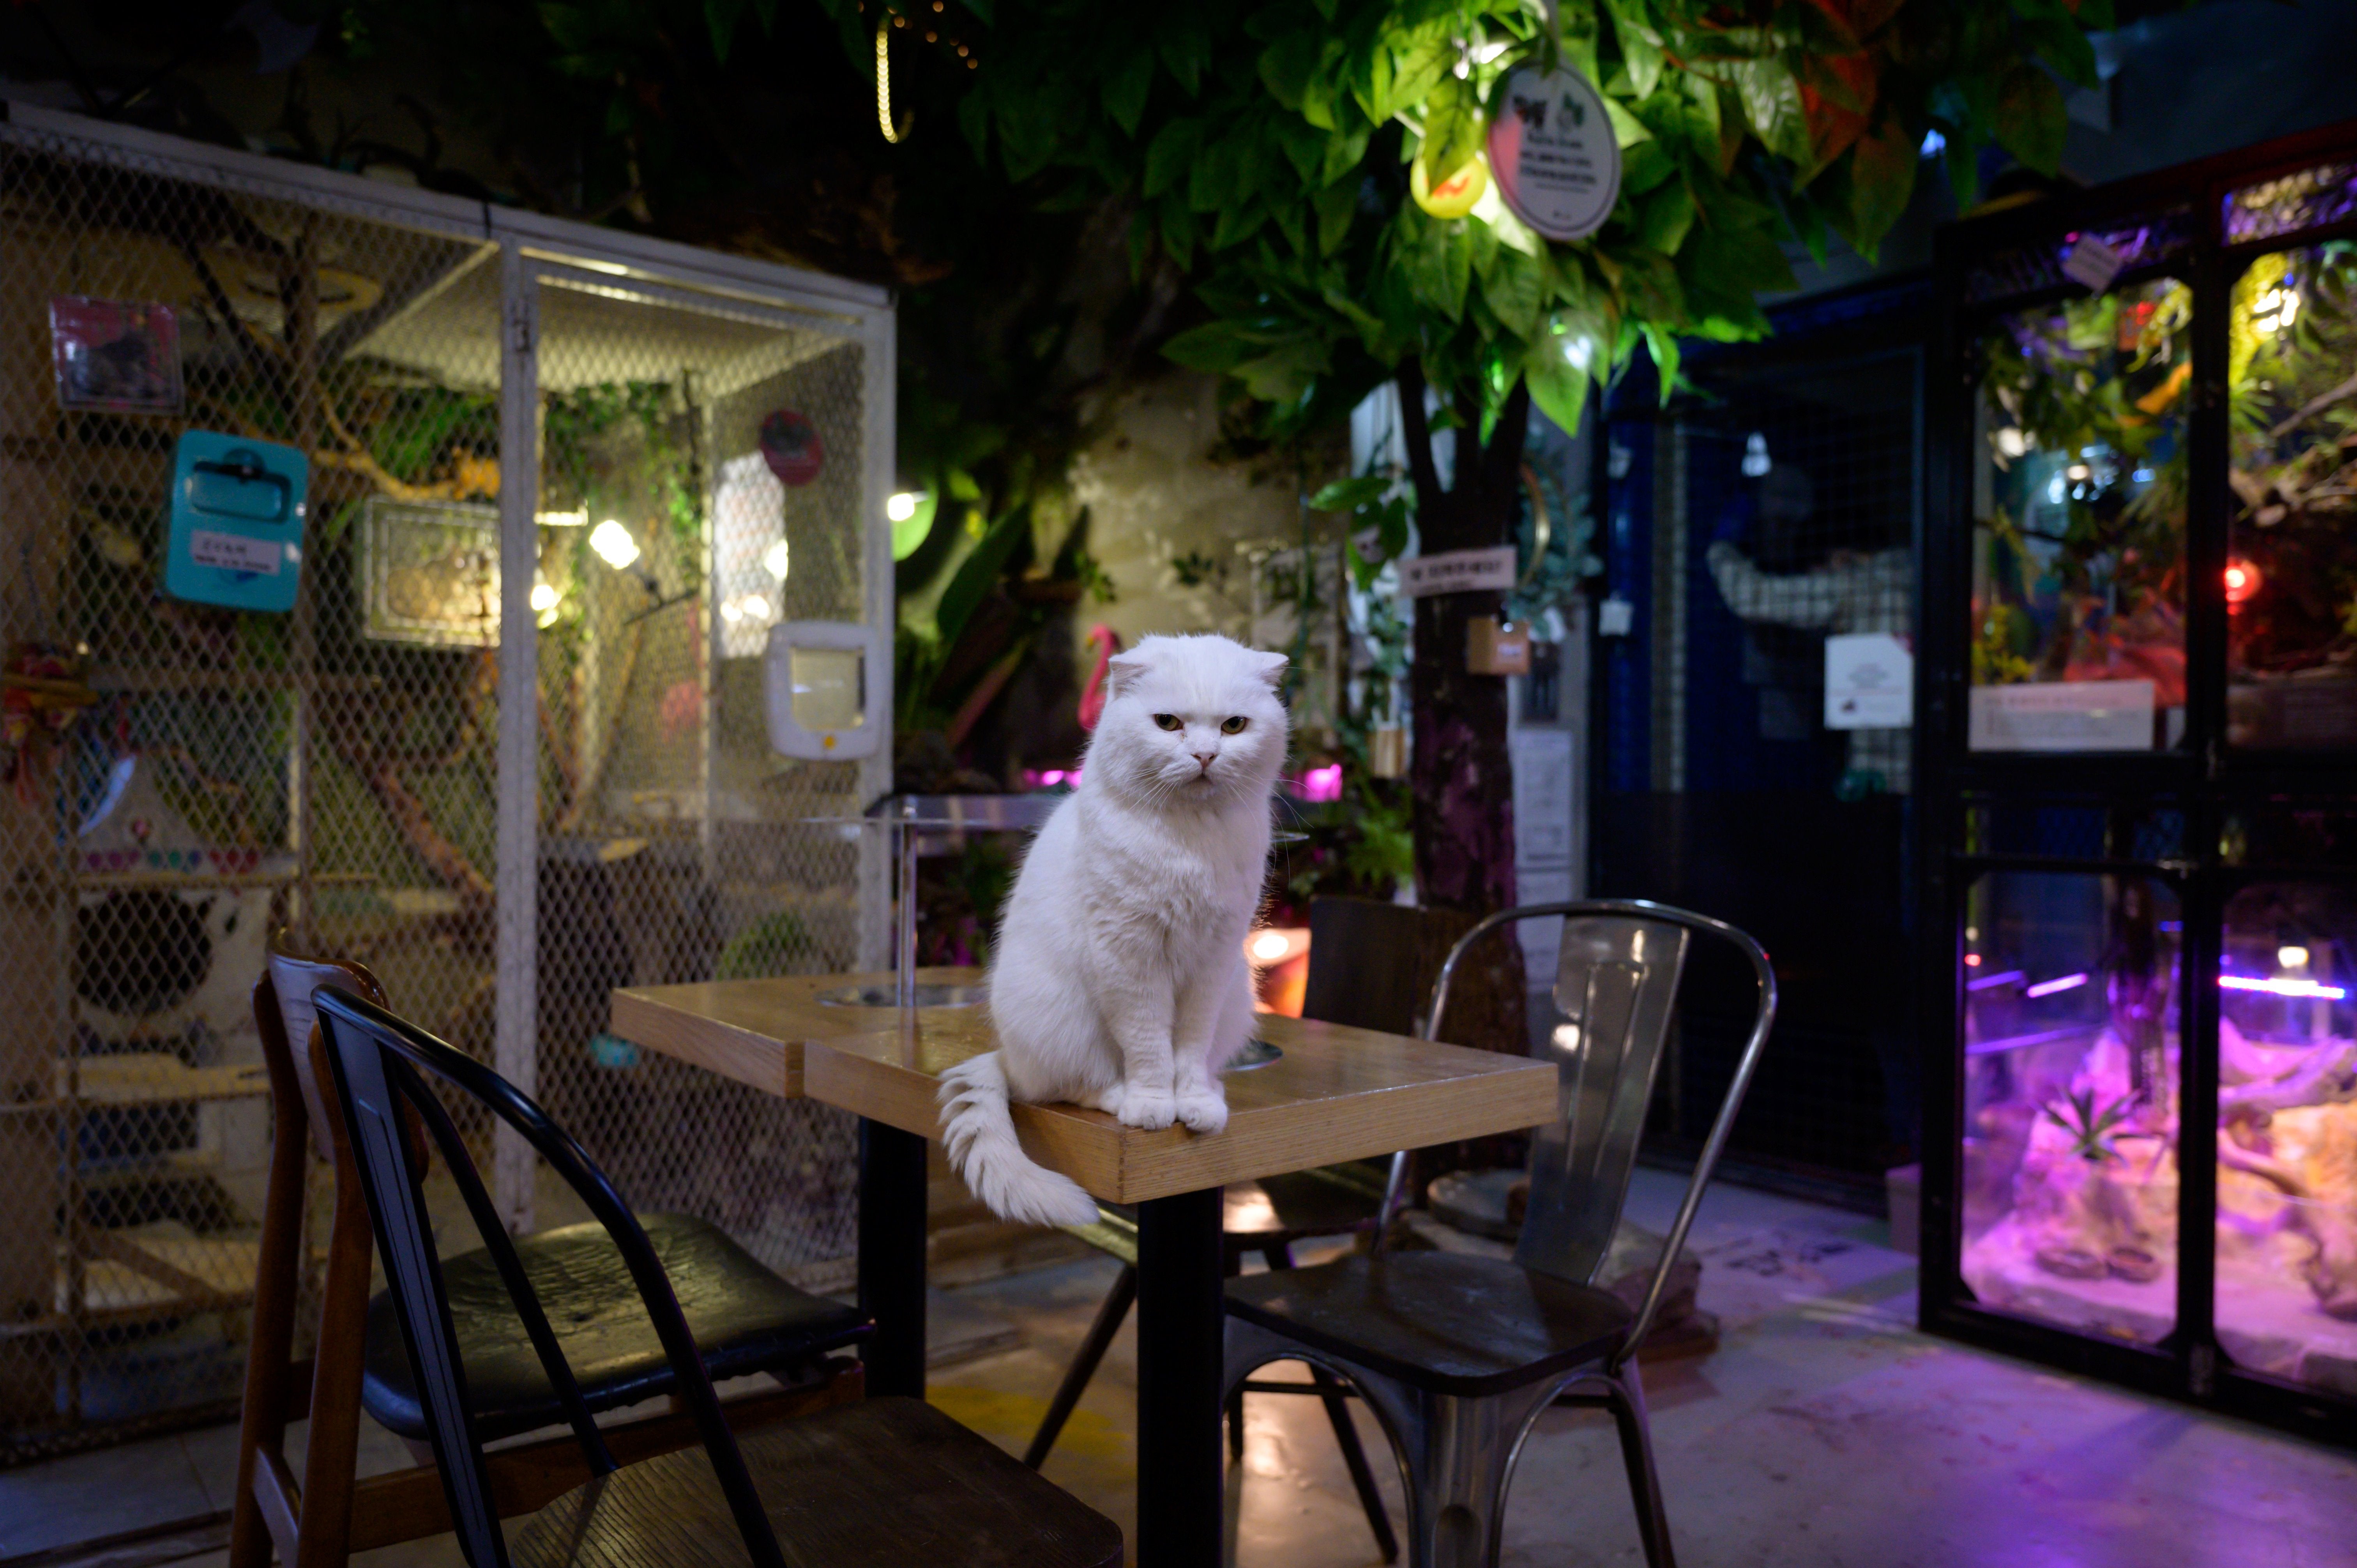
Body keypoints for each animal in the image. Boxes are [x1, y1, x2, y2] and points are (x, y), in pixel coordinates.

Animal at [938, 632, 1292, 1226]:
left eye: (1234, 726)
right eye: (1168, 723)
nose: (1205, 756)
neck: (1188, 843)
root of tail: (1007, 1056)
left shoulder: (1213, 963)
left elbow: (1189, 1046)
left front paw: (1194, 1104)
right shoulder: (1131, 957)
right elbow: (1149, 1045)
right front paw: (1154, 1105)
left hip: (1236, 1000)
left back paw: (1213, 1091)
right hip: (1062, 1022)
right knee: (1068, 1088)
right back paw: (1121, 1098)